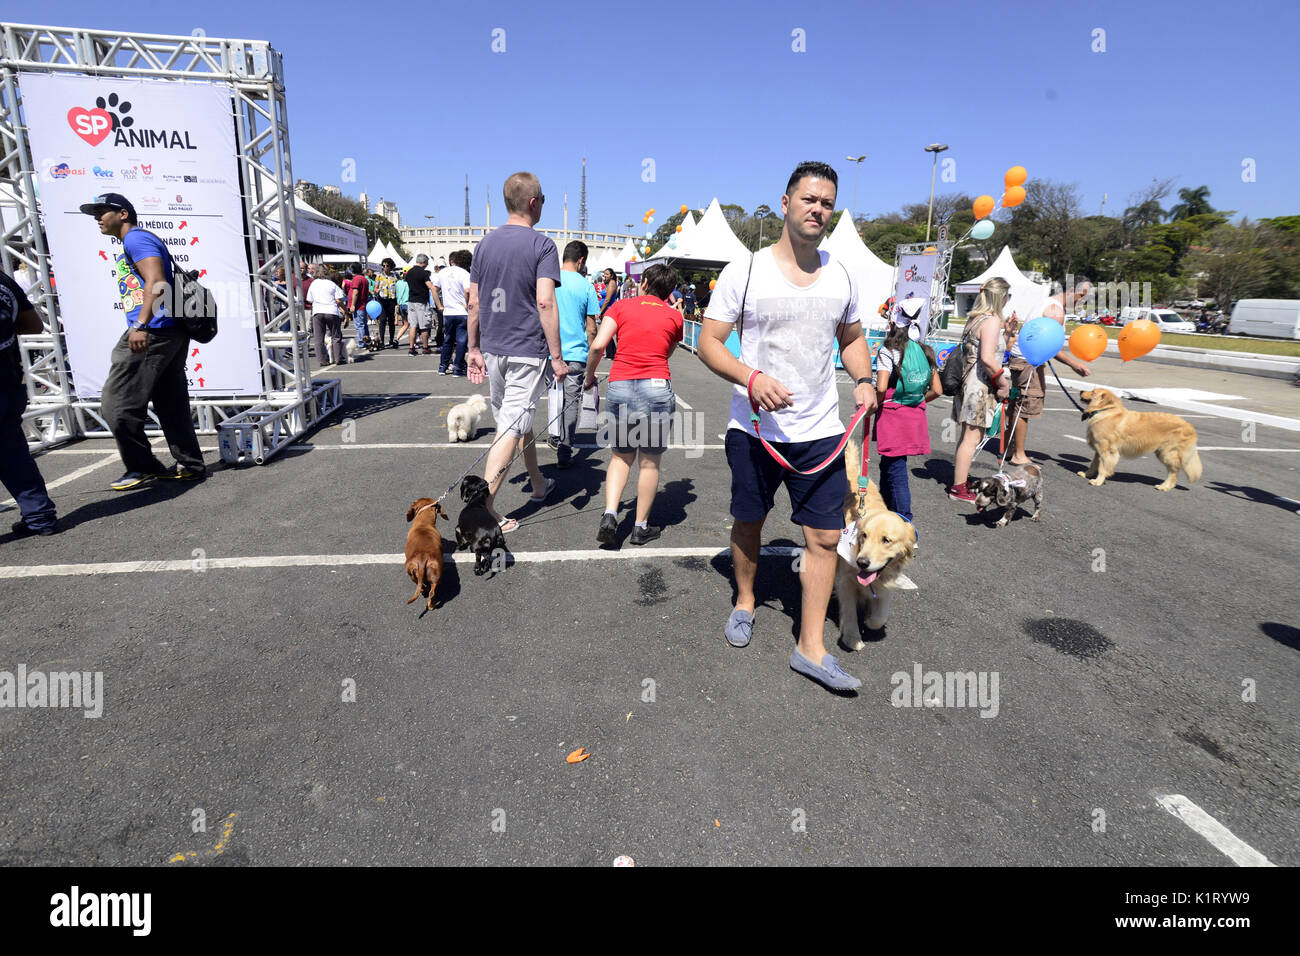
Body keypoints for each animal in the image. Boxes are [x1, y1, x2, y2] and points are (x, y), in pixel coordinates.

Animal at [837, 439, 920, 650]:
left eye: (886, 540)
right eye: (864, 536)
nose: (862, 563)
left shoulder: (885, 582)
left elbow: (880, 615)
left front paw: (870, 620)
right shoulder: (845, 580)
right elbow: (849, 611)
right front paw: (852, 637)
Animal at [1071, 390, 1201, 494]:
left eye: (1093, 392)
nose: (1081, 391)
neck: (1104, 411)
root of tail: (1190, 426)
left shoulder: (1107, 451)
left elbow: (1103, 468)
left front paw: (1098, 481)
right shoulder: (1099, 450)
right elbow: (1094, 464)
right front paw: (1087, 474)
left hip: (1167, 453)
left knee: (1174, 471)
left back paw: (1165, 487)